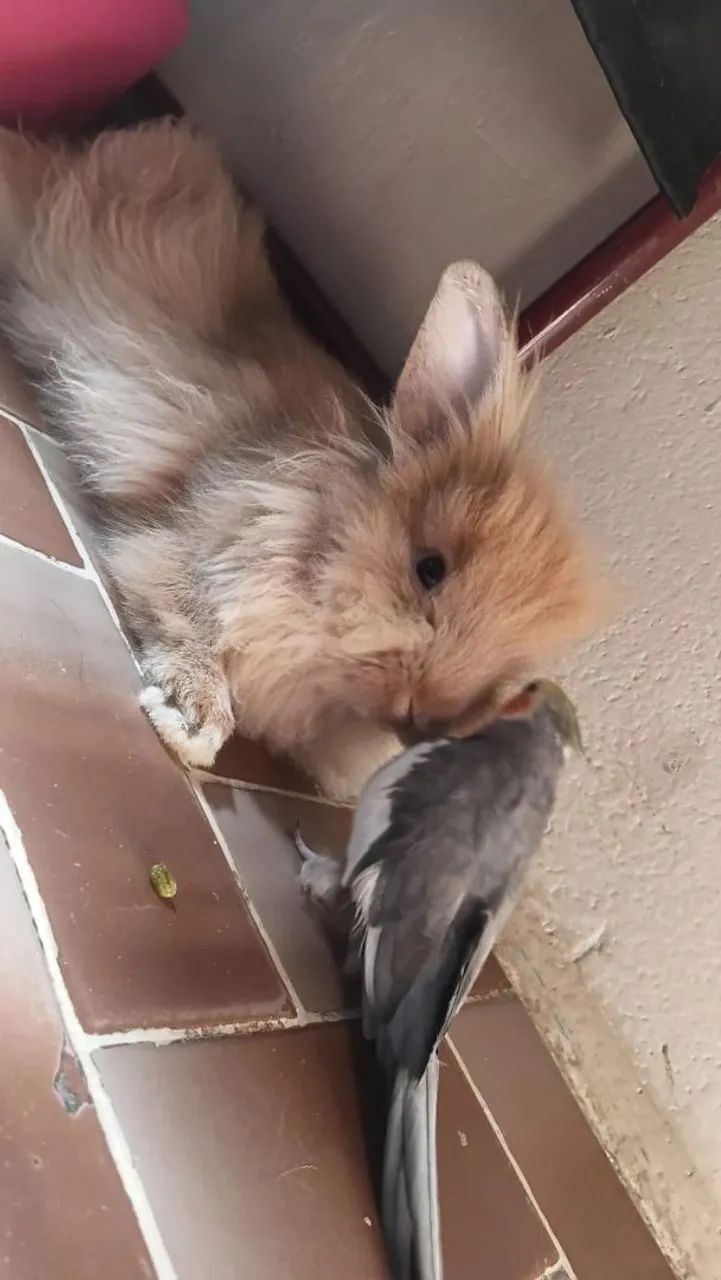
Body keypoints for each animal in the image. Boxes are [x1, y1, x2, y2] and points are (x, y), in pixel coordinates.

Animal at [0, 120, 598, 801]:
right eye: (428, 570)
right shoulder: (180, 552)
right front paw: (191, 725)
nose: (420, 715)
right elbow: (190, 632)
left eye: (506, 674)